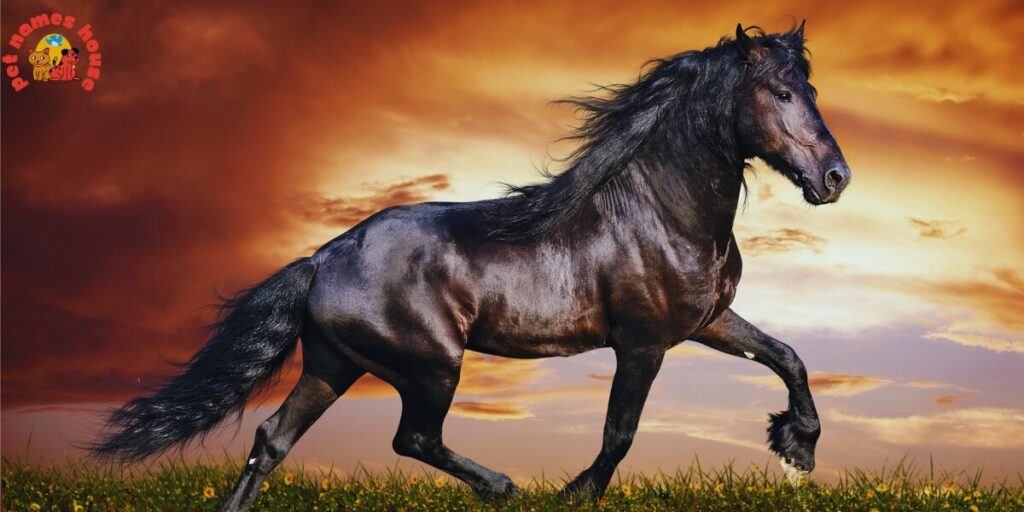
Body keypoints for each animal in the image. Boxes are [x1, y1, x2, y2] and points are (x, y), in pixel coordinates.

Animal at [92, 22, 850, 511]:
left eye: (811, 91)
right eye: (781, 94)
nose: (836, 179)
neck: (661, 210)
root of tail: (323, 259)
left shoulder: (707, 321)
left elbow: (787, 357)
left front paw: (798, 448)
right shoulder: (642, 342)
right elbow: (620, 432)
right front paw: (573, 494)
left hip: (333, 365)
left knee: (271, 441)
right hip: (431, 364)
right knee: (412, 438)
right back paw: (504, 487)